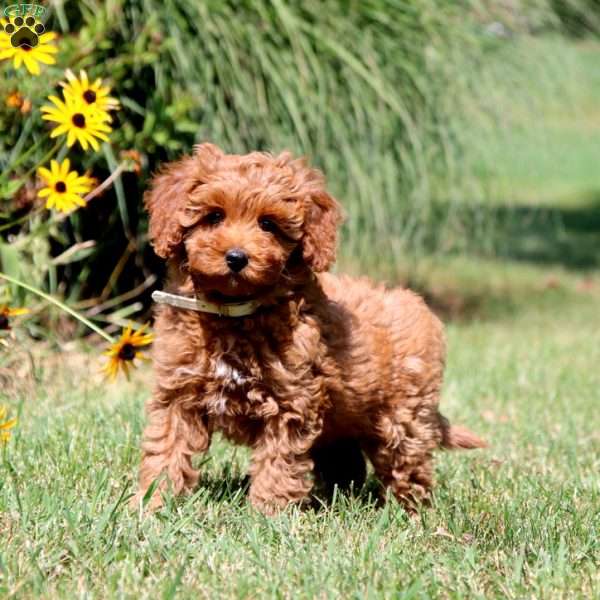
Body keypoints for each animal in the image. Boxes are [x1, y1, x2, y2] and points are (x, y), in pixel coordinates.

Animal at [134, 143, 486, 512]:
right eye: (213, 216)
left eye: (268, 224)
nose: (236, 258)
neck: (233, 314)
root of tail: (419, 305)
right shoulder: (178, 393)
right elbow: (167, 447)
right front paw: (152, 503)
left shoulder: (290, 402)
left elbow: (278, 463)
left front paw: (266, 513)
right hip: (343, 424)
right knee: (345, 463)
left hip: (404, 418)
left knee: (407, 465)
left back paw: (409, 511)